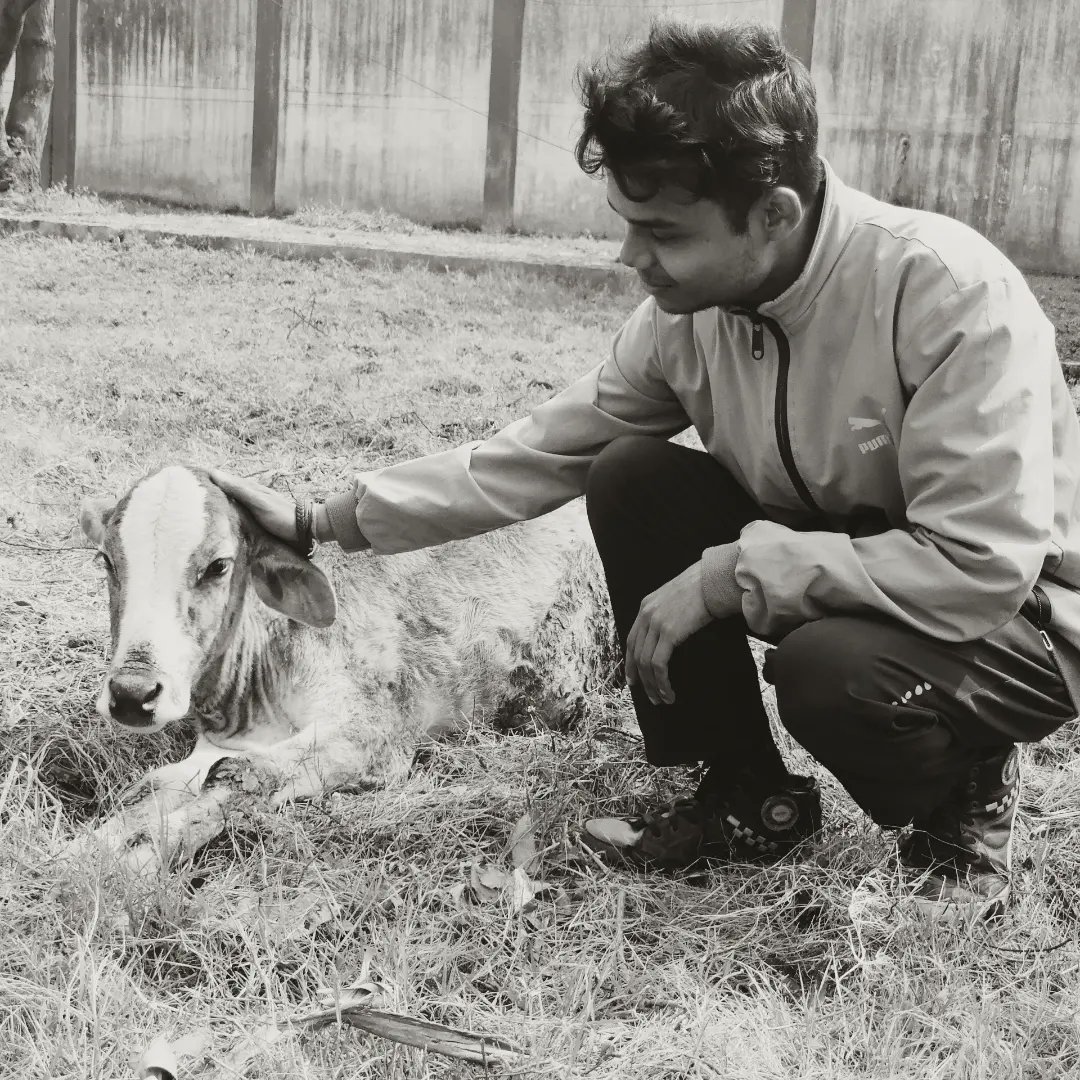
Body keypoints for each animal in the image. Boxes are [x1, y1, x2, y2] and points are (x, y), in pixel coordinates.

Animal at [70, 465, 616, 875]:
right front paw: (89, 848)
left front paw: (138, 861)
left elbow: (241, 778)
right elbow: (156, 785)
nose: (132, 693)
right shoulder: (214, 747)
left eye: (219, 566)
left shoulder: (371, 737)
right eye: (107, 561)